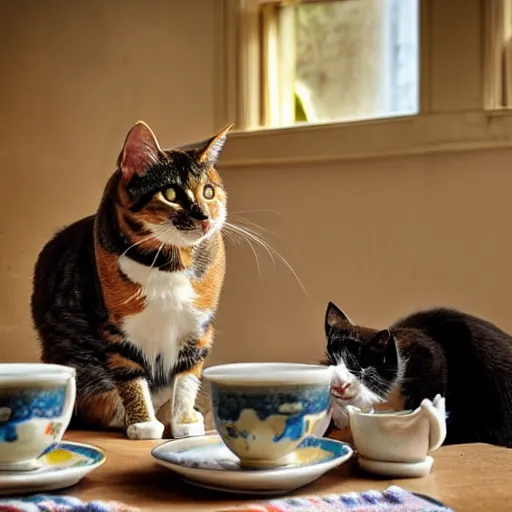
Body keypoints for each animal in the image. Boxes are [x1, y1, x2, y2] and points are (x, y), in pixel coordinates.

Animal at [31, 121, 230, 440]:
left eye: (208, 192)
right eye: (171, 194)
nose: (204, 217)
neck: (167, 264)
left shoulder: (197, 328)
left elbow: (186, 379)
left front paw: (184, 420)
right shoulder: (117, 332)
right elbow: (130, 379)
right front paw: (143, 423)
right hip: (78, 360)